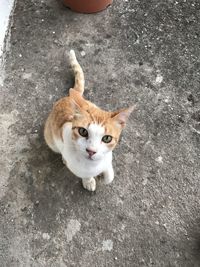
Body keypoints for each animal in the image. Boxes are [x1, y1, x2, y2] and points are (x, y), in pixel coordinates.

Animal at [44, 50, 134, 192]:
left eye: (107, 138)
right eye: (83, 131)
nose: (91, 151)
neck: (93, 165)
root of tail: (68, 96)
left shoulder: (108, 157)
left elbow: (110, 175)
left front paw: (104, 176)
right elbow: (85, 174)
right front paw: (89, 181)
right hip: (50, 139)